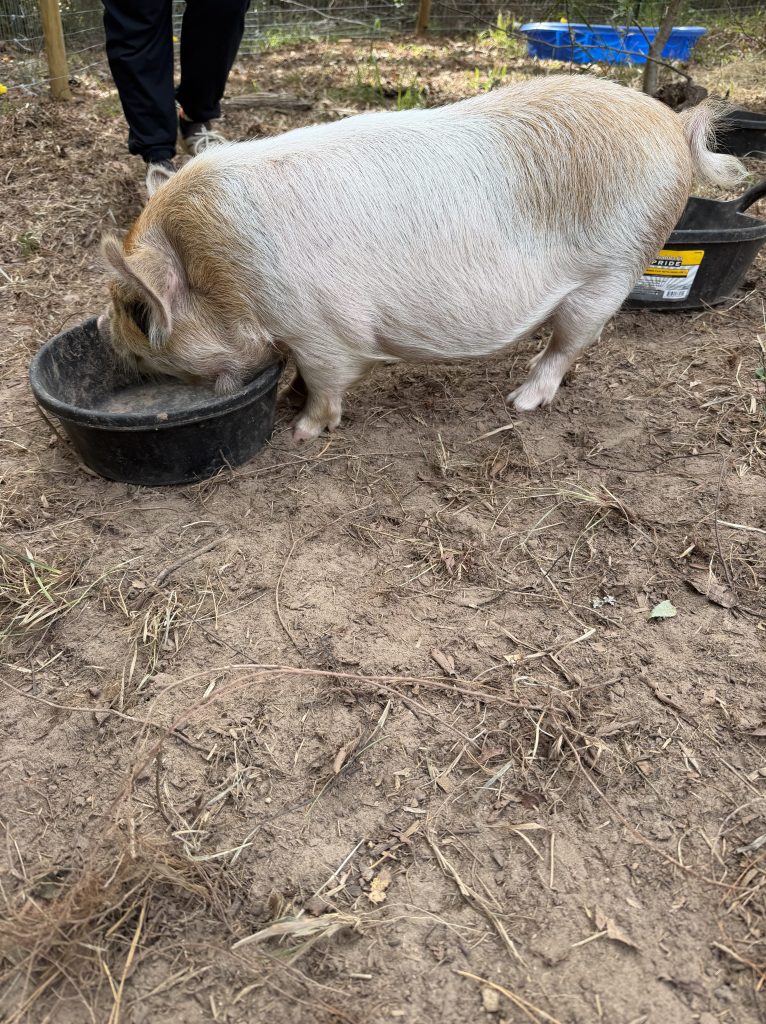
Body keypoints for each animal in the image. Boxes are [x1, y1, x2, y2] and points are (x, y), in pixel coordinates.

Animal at [98, 74, 745, 442]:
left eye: (136, 310)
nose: (102, 325)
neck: (221, 272)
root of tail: (672, 123)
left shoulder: (320, 329)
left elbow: (326, 381)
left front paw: (303, 431)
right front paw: (286, 401)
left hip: (613, 269)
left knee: (568, 347)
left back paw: (520, 402)